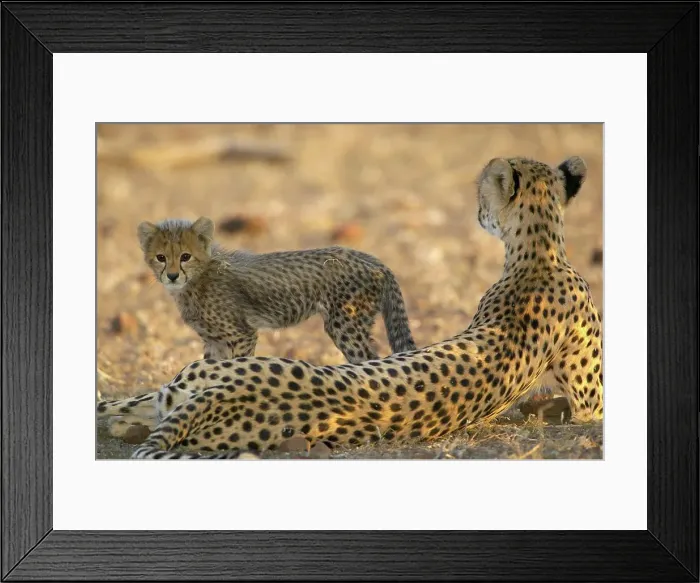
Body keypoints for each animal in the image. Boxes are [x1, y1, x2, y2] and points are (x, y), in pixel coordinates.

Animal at [136, 217, 417, 364]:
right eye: (161, 257)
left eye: (185, 256)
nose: (172, 276)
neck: (197, 279)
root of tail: (373, 259)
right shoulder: (213, 342)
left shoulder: (242, 334)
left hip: (345, 326)